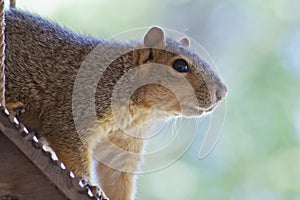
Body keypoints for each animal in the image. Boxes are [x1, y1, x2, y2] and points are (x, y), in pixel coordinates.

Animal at [3, 8, 226, 200]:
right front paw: (88, 183)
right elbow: (71, 145)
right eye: (180, 65)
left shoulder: (124, 140)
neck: (141, 110)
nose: (222, 92)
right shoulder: (77, 108)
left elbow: (116, 174)